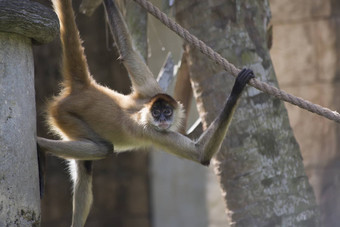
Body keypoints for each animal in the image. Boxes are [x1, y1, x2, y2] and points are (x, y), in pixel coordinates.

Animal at [37, 0, 254, 225]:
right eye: (157, 113)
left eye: (167, 111)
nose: (162, 119)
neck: (144, 111)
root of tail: (84, 88)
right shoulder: (150, 130)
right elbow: (200, 154)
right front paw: (236, 89)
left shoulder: (150, 91)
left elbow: (128, 52)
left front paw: (109, 2)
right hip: (64, 116)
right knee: (104, 148)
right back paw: (40, 147)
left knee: (85, 166)